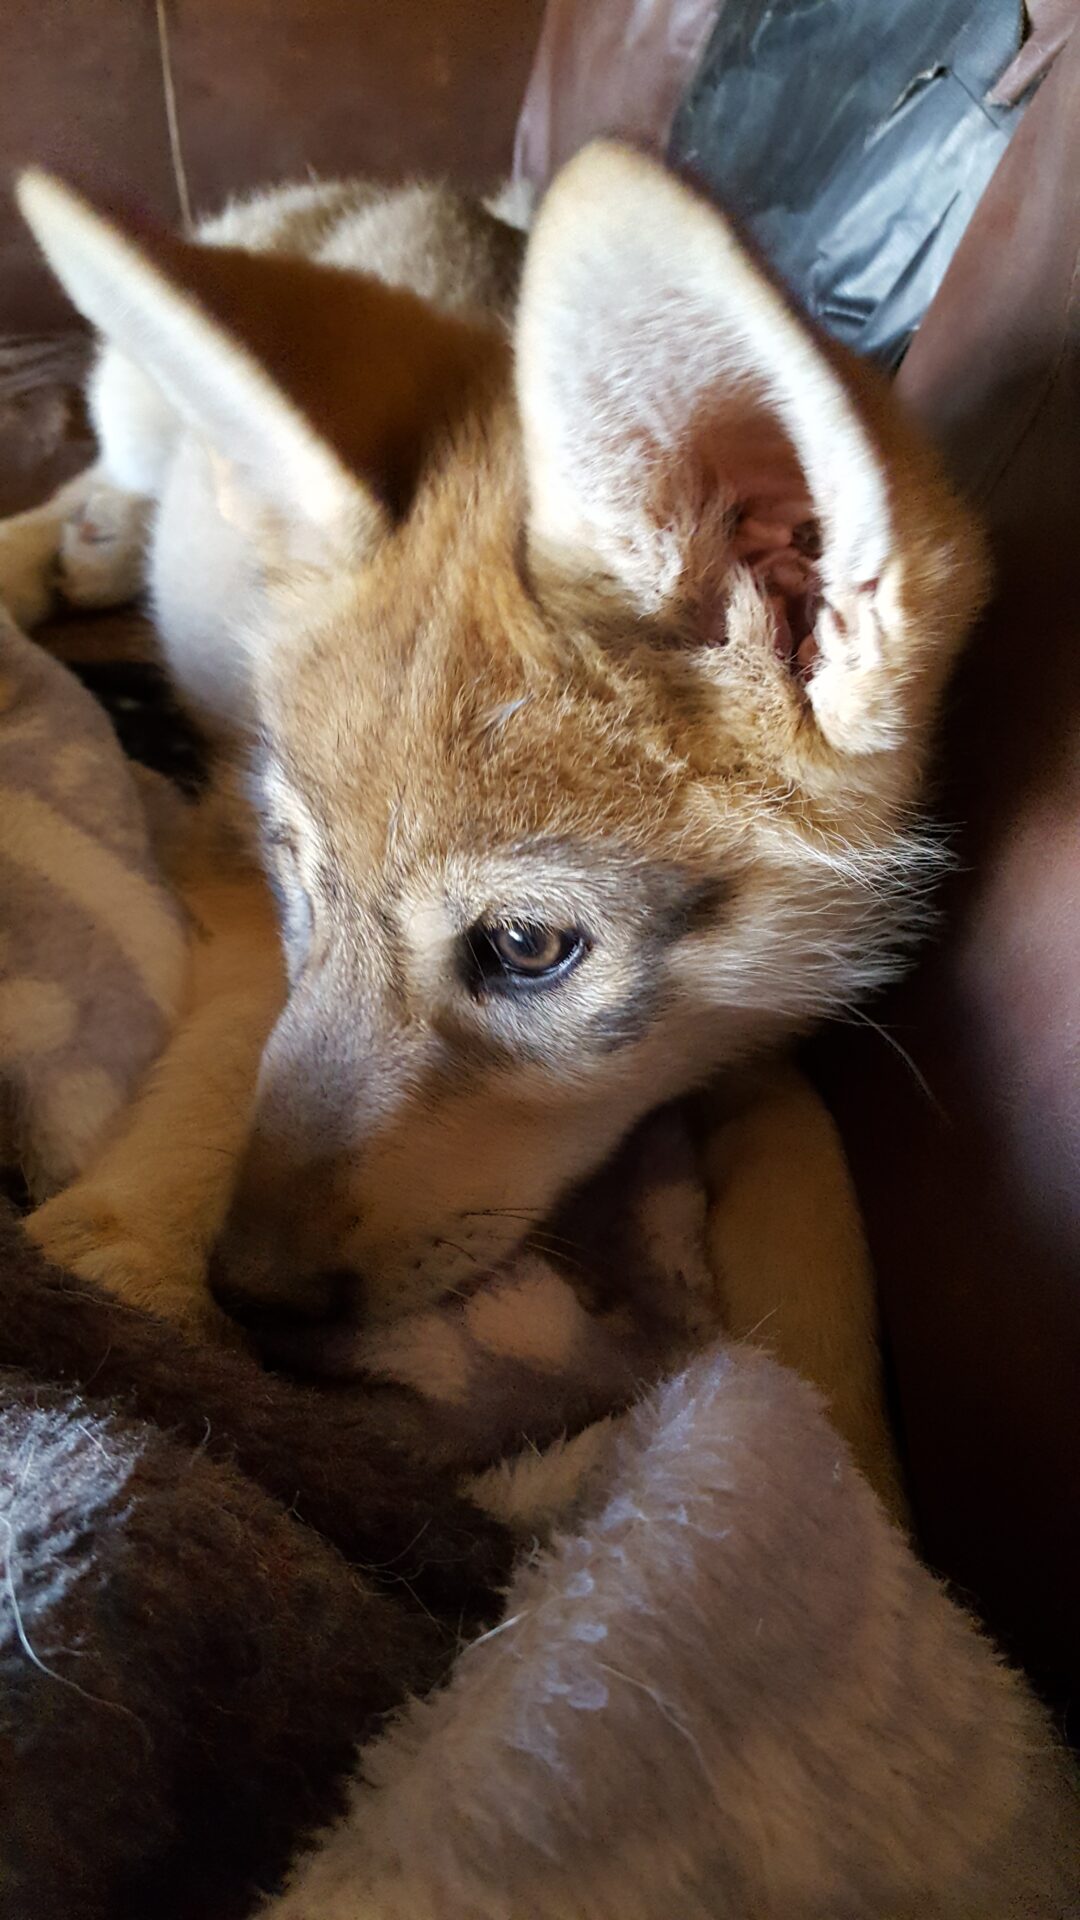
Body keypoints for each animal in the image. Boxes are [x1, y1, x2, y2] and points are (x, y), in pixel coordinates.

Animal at [0, 145, 983, 1428]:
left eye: (526, 947)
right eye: (294, 876)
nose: (251, 1291)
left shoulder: (772, 1025)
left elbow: (812, 1194)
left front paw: (837, 1450)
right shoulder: (223, 839)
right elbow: (238, 1036)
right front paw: (133, 1238)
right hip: (136, 397)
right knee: (100, 474)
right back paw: (74, 543)